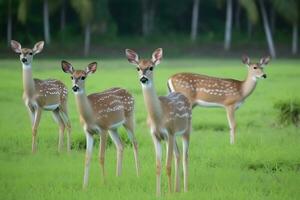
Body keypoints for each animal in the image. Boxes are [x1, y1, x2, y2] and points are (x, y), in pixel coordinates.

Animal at [62, 60, 140, 188]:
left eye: (83, 77)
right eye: (71, 77)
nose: (75, 87)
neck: (90, 115)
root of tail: (129, 92)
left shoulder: (102, 128)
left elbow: (101, 157)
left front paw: (104, 182)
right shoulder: (88, 131)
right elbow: (87, 157)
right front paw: (84, 186)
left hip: (129, 117)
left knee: (135, 143)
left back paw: (139, 173)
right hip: (113, 128)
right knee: (120, 145)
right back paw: (118, 176)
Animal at [125, 48, 191, 195]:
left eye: (151, 67)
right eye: (138, 68)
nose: (143, 78)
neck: (158, 117)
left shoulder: (169, 132)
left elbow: (168, 166)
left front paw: (170, 193)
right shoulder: (156, 135)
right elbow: (158, 166)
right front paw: (159, 193)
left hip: (186, 130)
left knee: (185, 156)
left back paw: (184, 189)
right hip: (174, 136)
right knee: (178, 155)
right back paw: (178, 189)